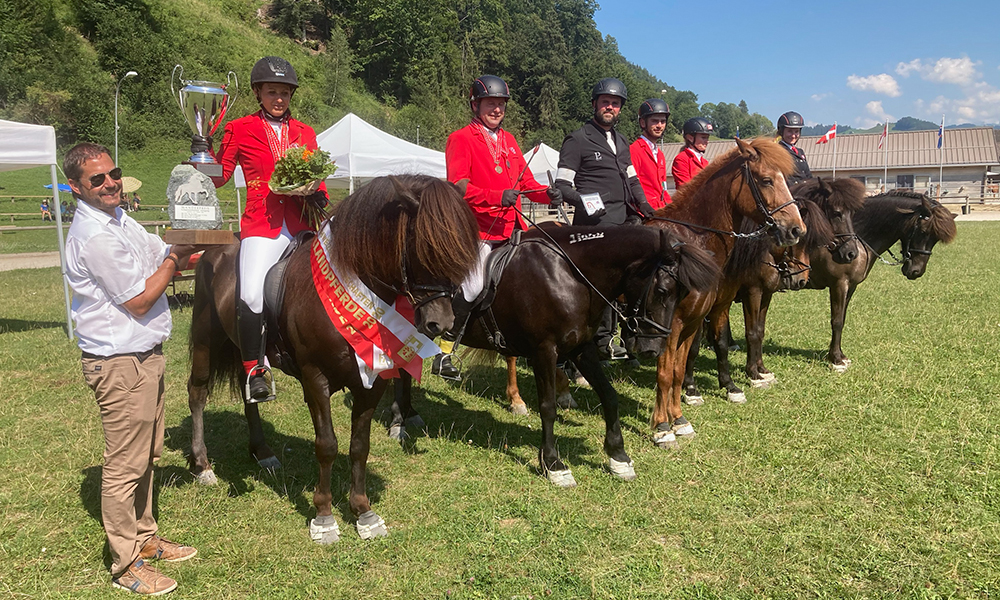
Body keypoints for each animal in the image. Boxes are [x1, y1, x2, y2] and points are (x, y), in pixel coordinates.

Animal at [190, 175, 484, 544]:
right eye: (424, 246)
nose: (440, 324)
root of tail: (216, 248)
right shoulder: (315, 379)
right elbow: (327, 445)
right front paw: (324, 517)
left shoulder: (372, 381)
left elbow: (359, 445)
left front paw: (363, 512)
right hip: (206, 340)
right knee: (198, 393)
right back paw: (203, 466)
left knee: (249, 394)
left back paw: (263, 452)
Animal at [388, 223, 720, 486]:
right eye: (662, 291)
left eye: (683, 293)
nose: (653, 349)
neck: (569, 274)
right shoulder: (544, 351)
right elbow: (547, 407)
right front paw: (553, 464)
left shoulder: (581, 348)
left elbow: (609, 396)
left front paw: (618, 456)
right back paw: (398, 421)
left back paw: (409, 414)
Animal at [644, 136, 808, 446]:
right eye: (766, 180)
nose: (796, 229)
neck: (692, 242)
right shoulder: (671, 323)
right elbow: (665, 373)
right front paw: (662, 426)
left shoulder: (702, 314)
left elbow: (682, 366)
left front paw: (681, 418)